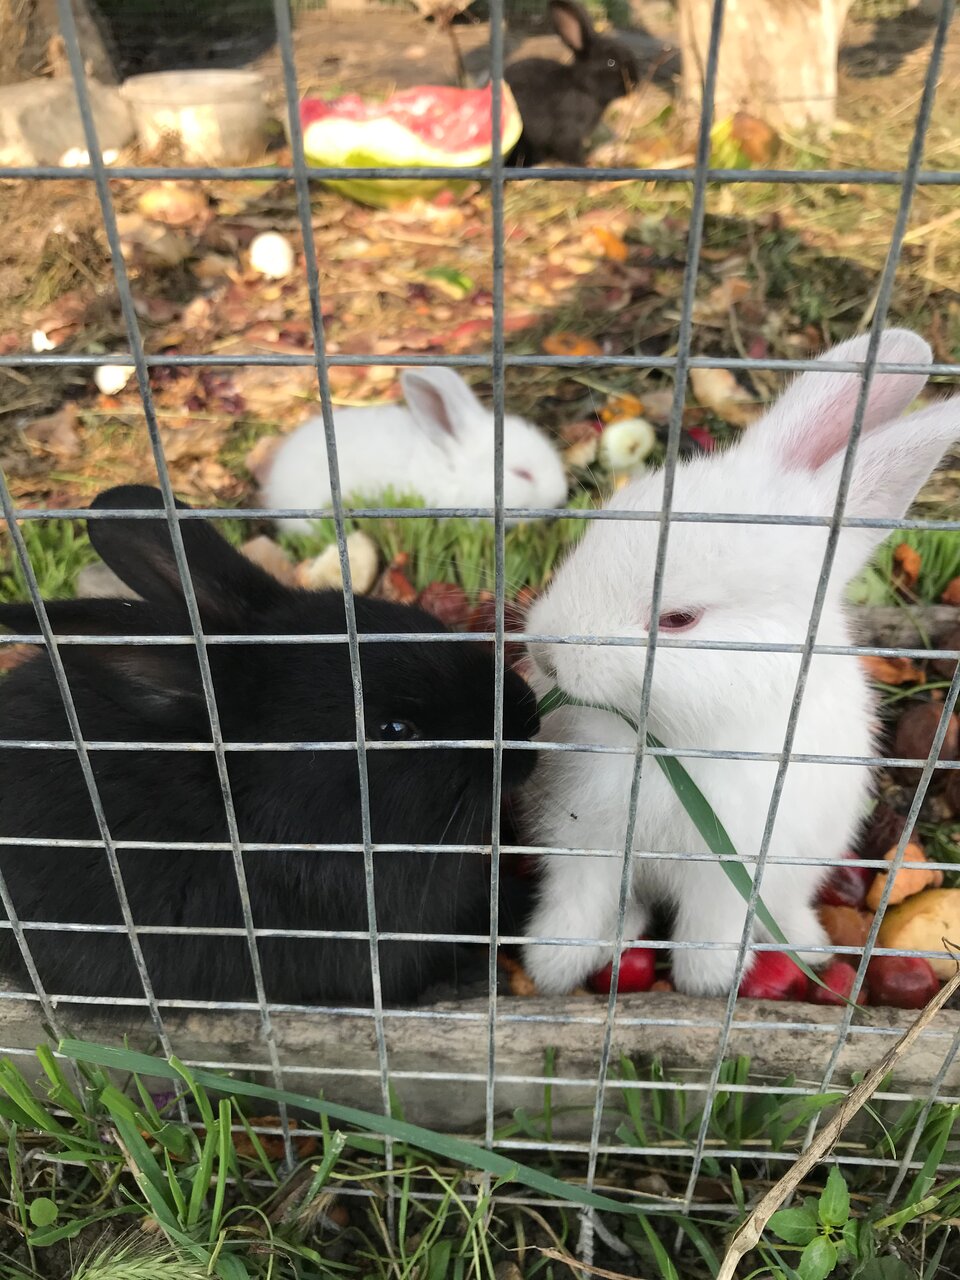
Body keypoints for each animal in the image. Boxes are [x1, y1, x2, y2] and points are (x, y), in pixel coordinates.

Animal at [504, 0, 639, 166]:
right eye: (611, 62)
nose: (635, 81)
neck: (583, 88)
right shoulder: (567, 134)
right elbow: (570, 151)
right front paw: (584, 165)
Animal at [518, 328, 960, 999]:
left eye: (679, 620)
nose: (544, 651)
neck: (661, 741)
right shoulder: (587, 841)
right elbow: (578, 902)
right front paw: (551, 965)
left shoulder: (731, 866)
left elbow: (712, 925)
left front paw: (705, 982)